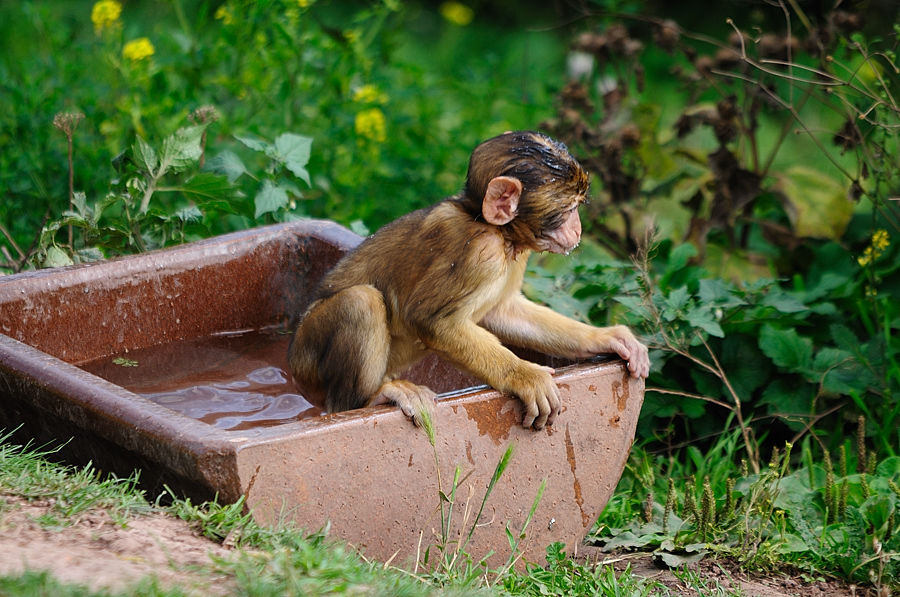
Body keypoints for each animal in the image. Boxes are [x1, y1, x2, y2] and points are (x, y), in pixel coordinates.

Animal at [292, 130, 652, 428]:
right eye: (567, 210)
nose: (578, 229)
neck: (491, 226)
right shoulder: (480, 254)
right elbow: (431, 321)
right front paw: (526, 377)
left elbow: (504, 312)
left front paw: (606, 337)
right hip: (307, 361)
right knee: (361, 302)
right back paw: (366, 400)